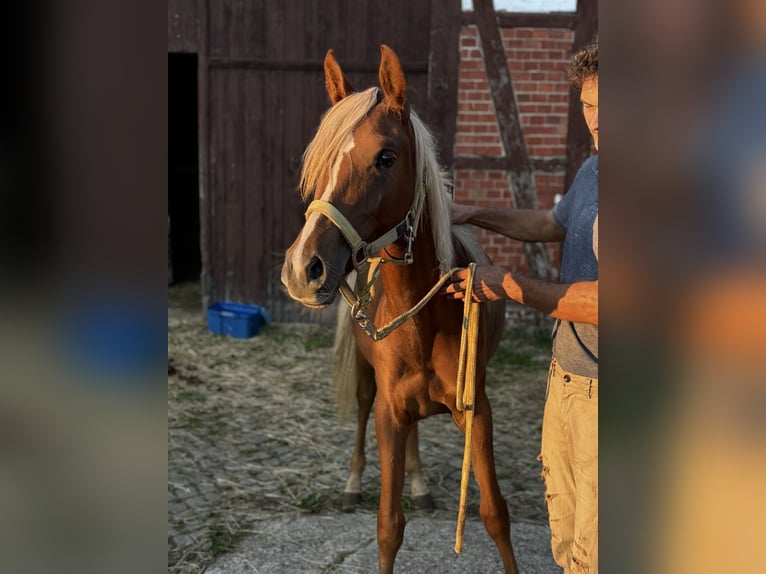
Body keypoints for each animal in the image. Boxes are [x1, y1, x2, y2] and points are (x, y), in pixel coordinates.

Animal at [280, 46, 520, 574]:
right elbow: (389, 526)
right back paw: (353, 486)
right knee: (362, 415)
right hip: (370, 387)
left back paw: (421, 484)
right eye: (320, 160)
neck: (421, 316)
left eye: (385, 157)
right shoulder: (389, 413)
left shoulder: (478, 410)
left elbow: (495, 513)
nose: (303, 268)